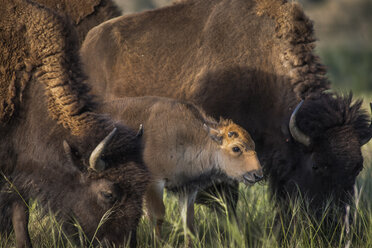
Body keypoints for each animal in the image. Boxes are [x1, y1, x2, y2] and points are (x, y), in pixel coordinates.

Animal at [99, 96, 262, 234]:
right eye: (236, 148)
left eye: (253, 145)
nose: (257, 175)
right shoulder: (154, 183)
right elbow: (157, 217)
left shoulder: (187, 189)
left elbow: (188, 223)